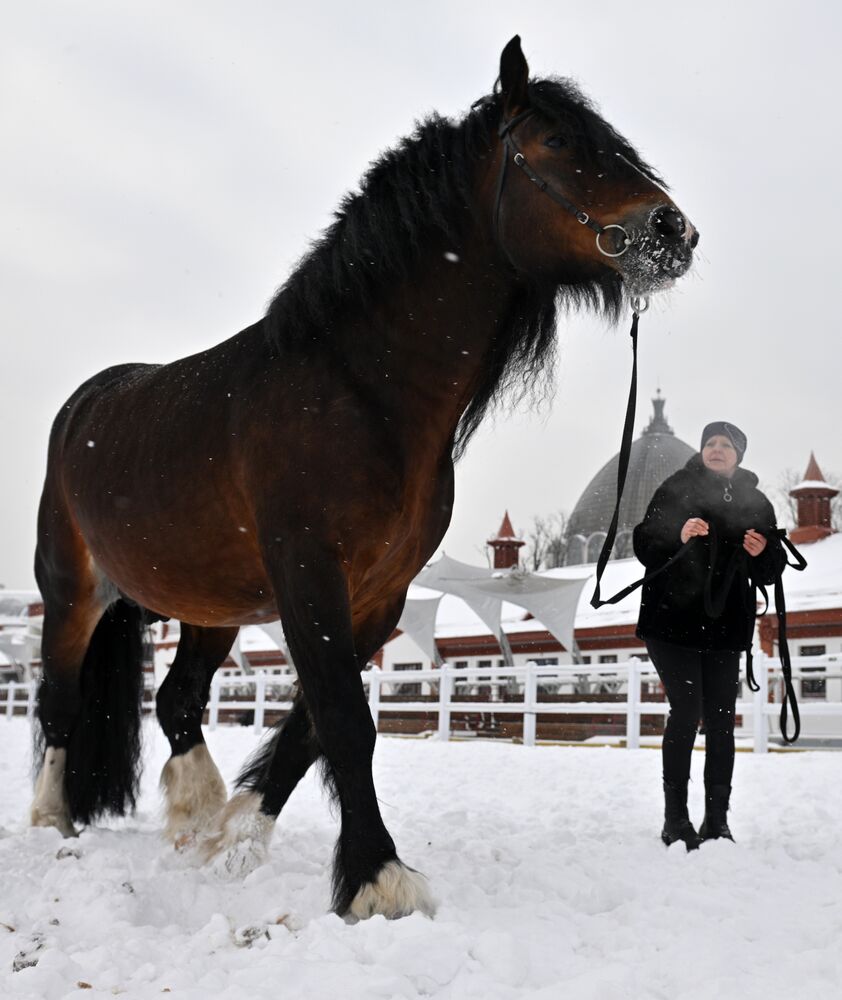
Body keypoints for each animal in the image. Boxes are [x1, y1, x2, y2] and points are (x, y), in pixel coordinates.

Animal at [29, 35, 696, 916]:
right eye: (556, 141)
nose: (674, 229)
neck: (357, 390)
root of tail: (86, 404)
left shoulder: (379, 594)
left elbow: (315, 721)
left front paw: (240, 839)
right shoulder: (311, 572)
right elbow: (345, 717)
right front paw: (379, 878)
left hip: (211, 608)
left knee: (177, 700)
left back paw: (195, 819)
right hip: (73, 591)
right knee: (61, 702)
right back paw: (53, 822)